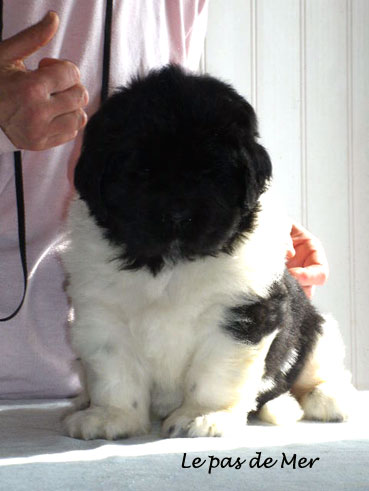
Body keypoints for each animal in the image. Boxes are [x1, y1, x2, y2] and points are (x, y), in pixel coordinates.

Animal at [62, 63, 354, 440]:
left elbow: (216, 373)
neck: (169, 265)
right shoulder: (101, 313)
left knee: (319, 367)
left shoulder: (241, 314)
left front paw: (204, 415)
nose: (176, 214)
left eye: (211, 172)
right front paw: (110, 416)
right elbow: (114, 372)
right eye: (141, 171)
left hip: (317, 326)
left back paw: (327, 398)